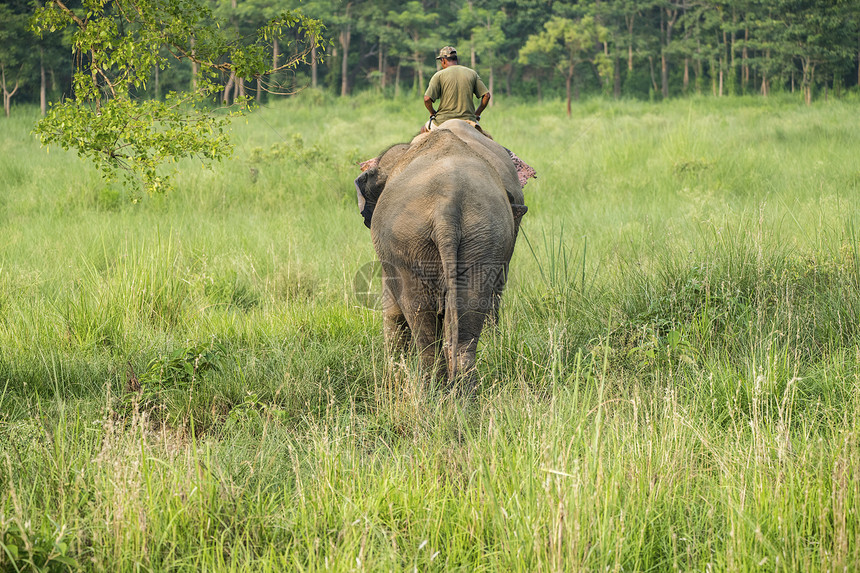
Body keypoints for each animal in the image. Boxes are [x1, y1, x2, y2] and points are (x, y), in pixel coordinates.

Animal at [352, 118, 528, 386]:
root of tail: (447, 206)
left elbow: (392, 310)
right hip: (484, 238)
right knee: (469, 317)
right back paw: (461, 391)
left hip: (410, 246)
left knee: (421, 323)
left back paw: (431, 389)